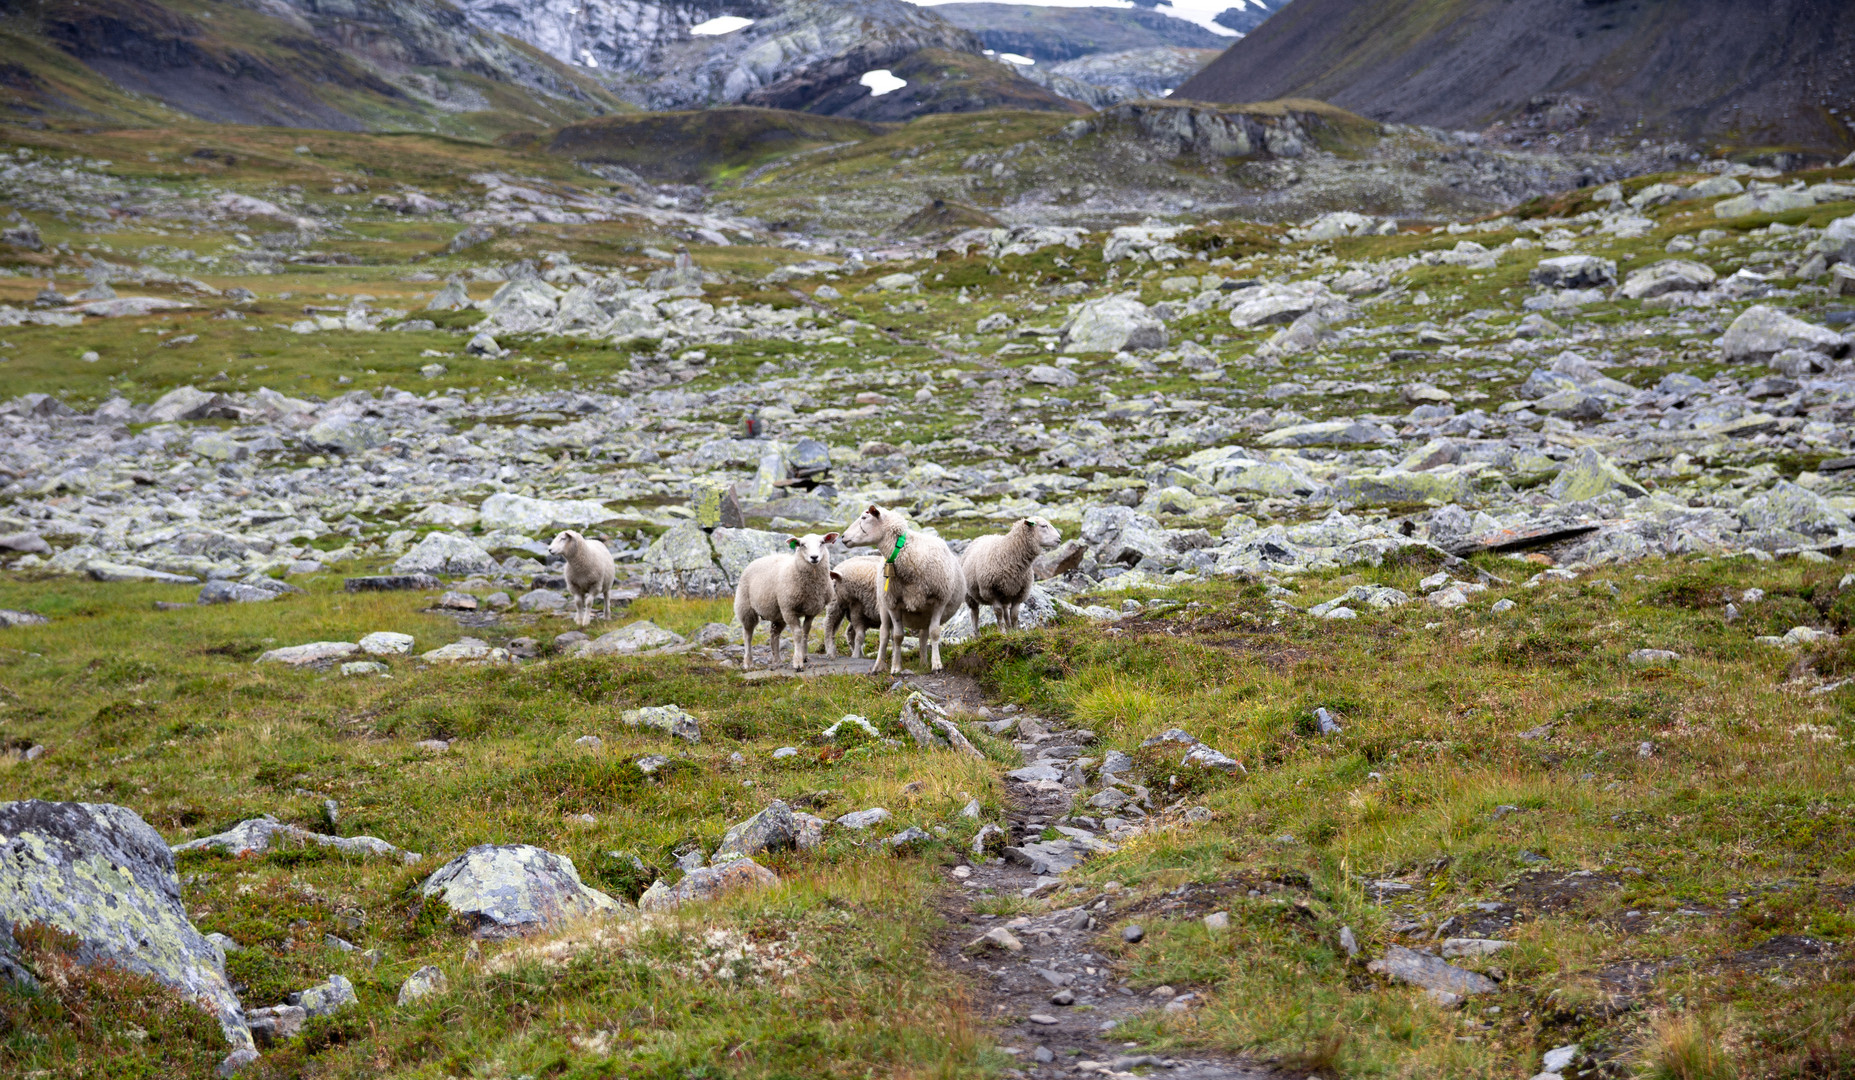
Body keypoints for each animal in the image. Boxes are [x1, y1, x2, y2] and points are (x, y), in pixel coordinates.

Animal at [734, 530, 838, 671]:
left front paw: (804, 656)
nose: (814, 557)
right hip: (746, 607)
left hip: (778, 614)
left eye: (822, 542)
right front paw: (798, 662)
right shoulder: (789, 609)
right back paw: (748, 663)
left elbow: (805, 632)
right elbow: (798, 634)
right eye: (802, 544)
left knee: (774, 634)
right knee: (747, 634)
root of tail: (758, 559)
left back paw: (777, 660)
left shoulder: (811, 611)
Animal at [838, 508, 964, 675]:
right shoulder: (893, 604)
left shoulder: (939, 600)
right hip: (883, 605)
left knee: (923, 635)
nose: (843, 537)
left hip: (925, 614)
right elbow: (897, 636)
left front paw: (936, 664)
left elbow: (935, 632)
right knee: (884, 634)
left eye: (864, 517)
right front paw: (896, 667)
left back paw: (923, 663)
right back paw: (878, 665)